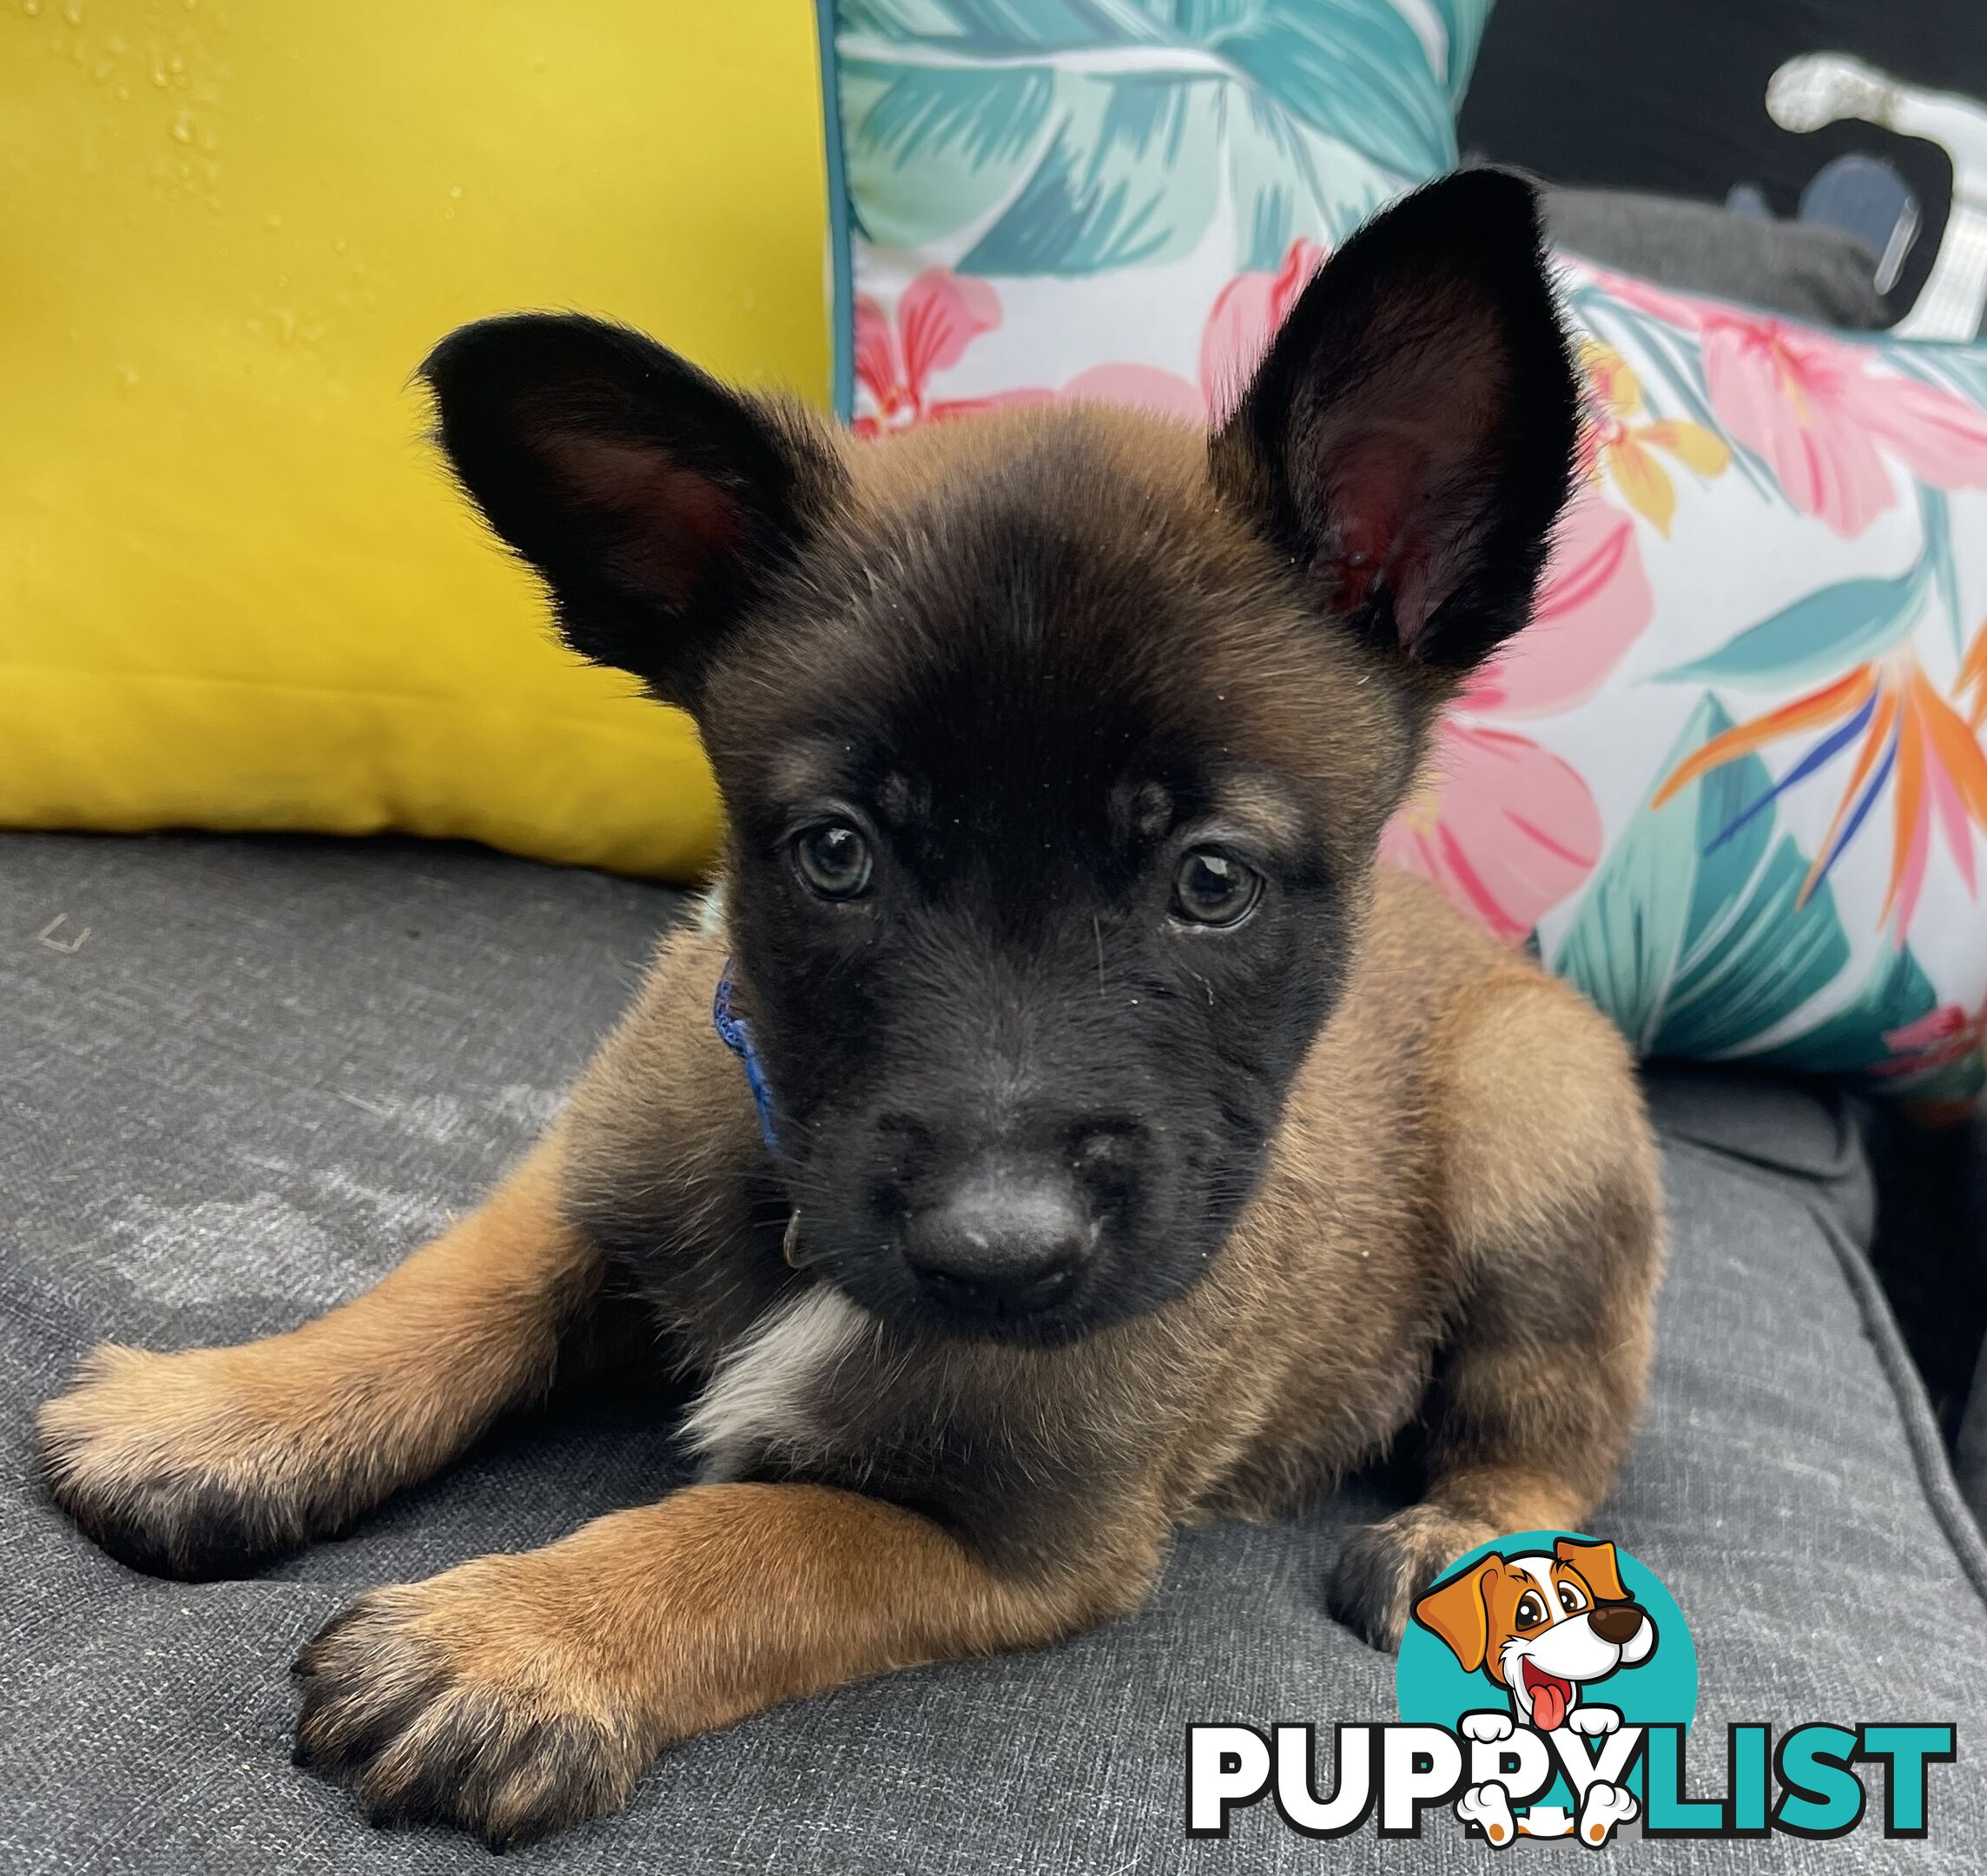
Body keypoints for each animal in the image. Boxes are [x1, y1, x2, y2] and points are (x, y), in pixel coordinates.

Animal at [43, 175, 1660, 1844]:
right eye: (837, 854)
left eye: (1210, 881)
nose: (997, 1249)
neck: (797, 1218)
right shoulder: (598, 1166)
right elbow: (454, 1285)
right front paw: (231, 1412)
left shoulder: (1018, 1544)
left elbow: (751, 1539)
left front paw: (516, 1639)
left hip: (1530, 1128)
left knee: (1561, 1423)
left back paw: (1481, 1544)